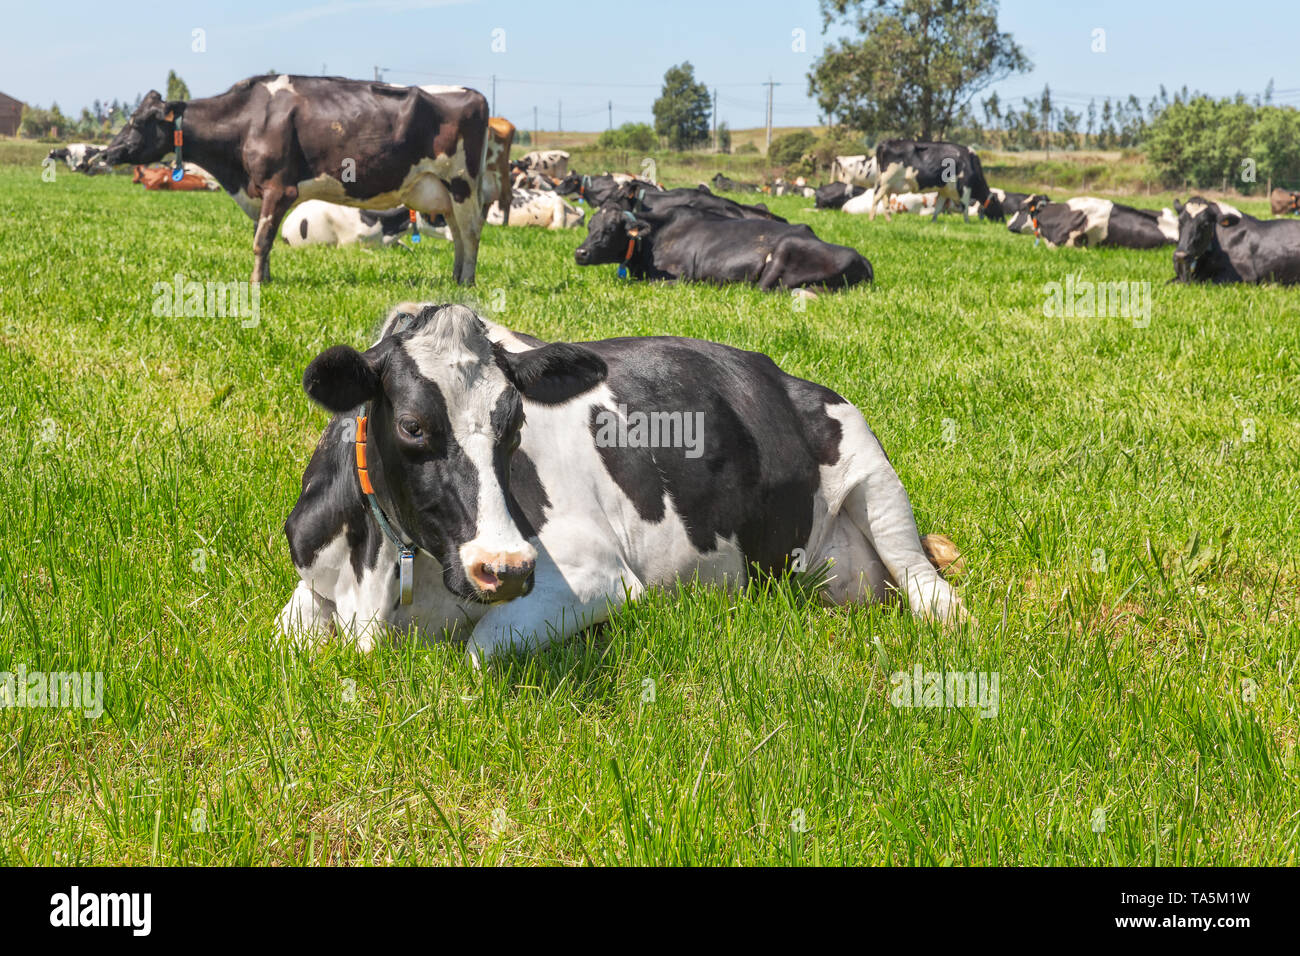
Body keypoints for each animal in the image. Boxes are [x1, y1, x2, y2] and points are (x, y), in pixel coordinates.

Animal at [99, 76, 489, 285]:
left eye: (137, 121)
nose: (104, 154)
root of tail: (474, 93)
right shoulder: (260, 191)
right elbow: (265, 238)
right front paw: (267, 278)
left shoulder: (278, 186)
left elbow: (261, 240)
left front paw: (256, 283)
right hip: (442, 192)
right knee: (457, 234)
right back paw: (455, 278)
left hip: (462, 183)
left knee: (471, 234)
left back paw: (467, 282)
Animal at [279, 302, 964, 665]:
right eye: (414, 426)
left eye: (515, 424)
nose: (505, 569)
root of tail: (783, 375)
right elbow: (282, 635)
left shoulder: (595, 576)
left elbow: (478, 649)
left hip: (873, 472)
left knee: (928, 587)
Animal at [573, 204, 871, 289]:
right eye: (589, 227)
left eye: (610, 229)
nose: (580, 252)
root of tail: (862, 258)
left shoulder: (681, 276)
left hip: (786, 249)